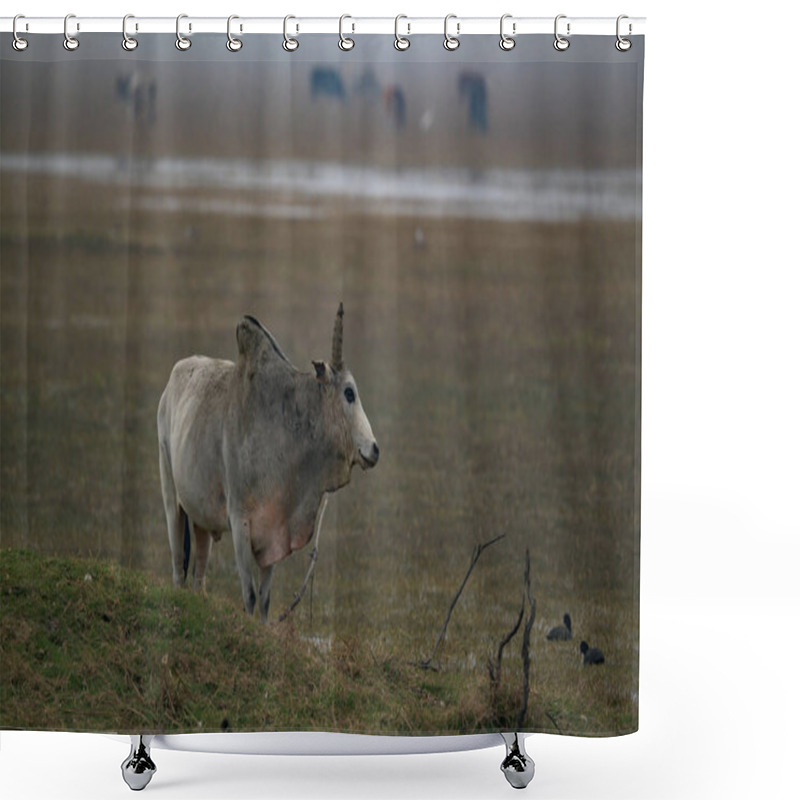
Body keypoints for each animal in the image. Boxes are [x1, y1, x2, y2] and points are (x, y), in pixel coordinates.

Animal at [160, 304, 382, 620]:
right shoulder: (239, 519)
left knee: (199, 572)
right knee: (178, 565)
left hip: (200, 515)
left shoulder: (278, 530)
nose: (374, 449)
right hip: (171, 496)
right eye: (349, 393)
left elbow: (264, 599)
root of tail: (174, 378)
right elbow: (250, 595)